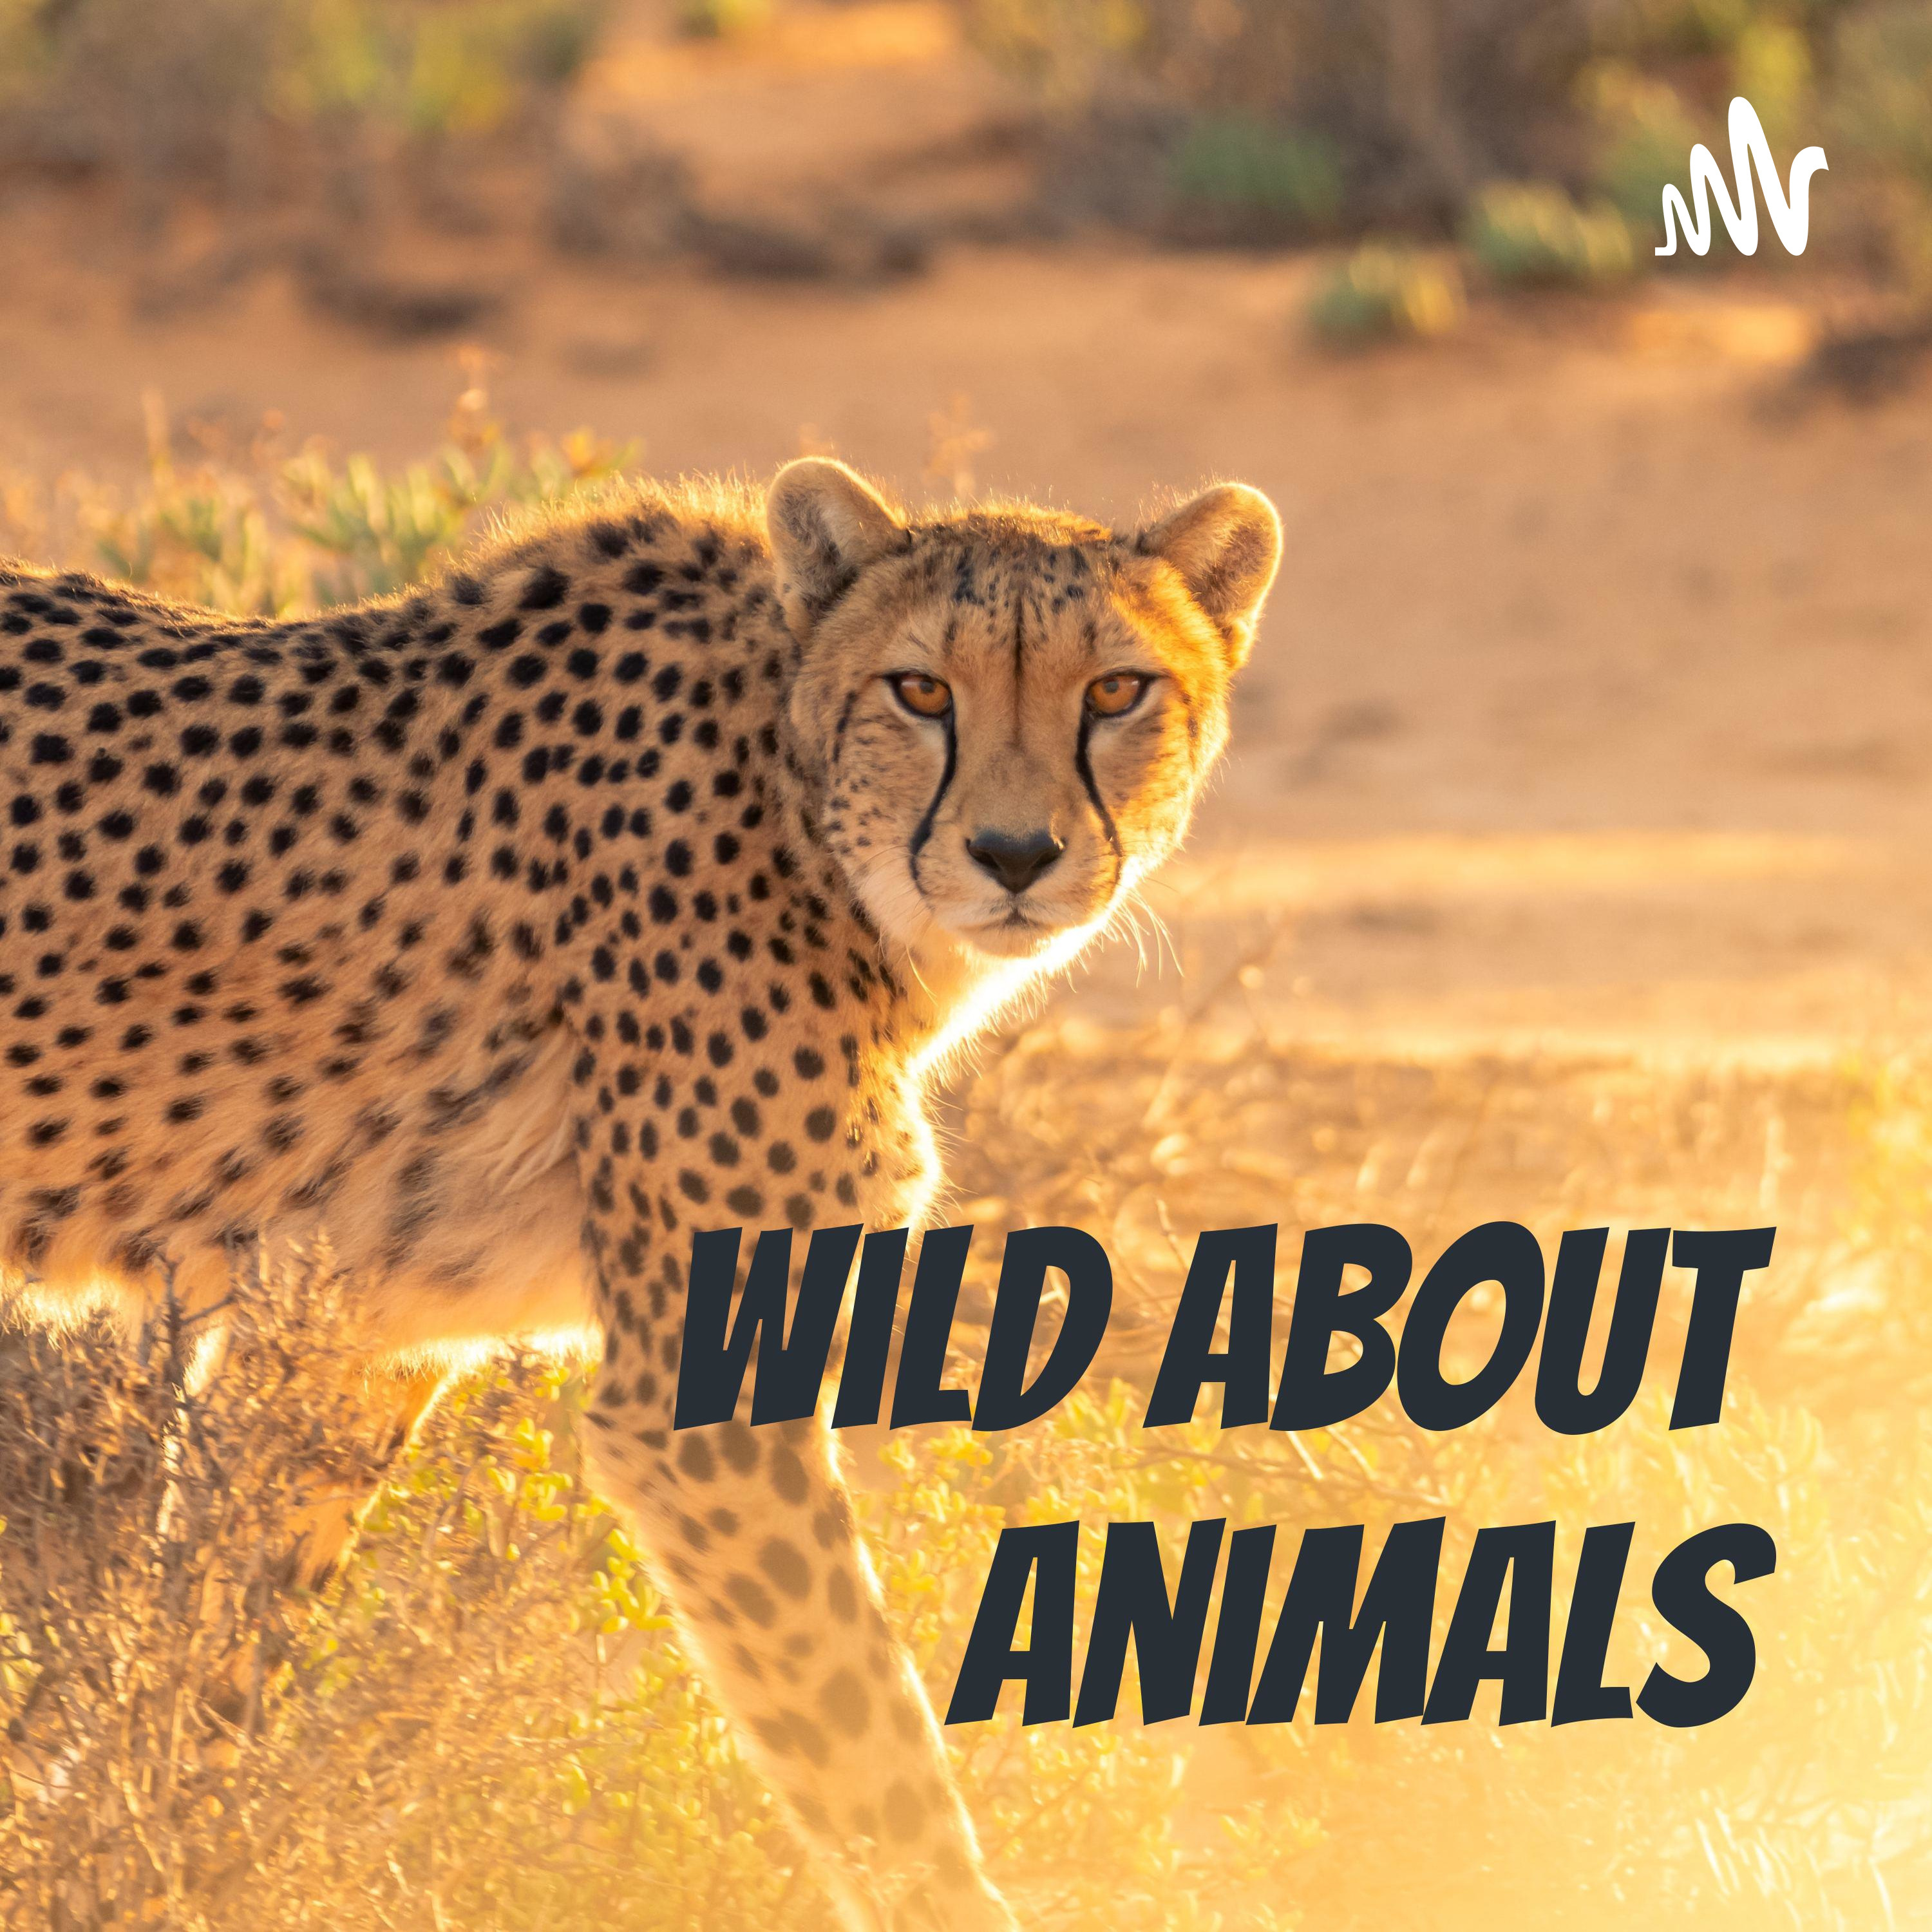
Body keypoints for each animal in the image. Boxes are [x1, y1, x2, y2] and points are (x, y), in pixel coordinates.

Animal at [0, 455, 1281, 1928]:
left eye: (1117, 690)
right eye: (920, 689)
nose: (1014, 854)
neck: (798, 805)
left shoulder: (351, 1340)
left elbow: (207, 1667)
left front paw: (137, 1862)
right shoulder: (698, 1408)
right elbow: (871, 1754)